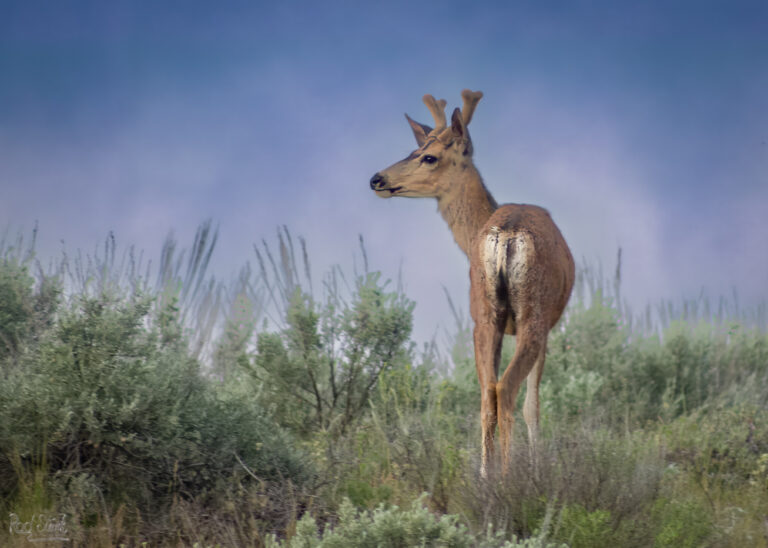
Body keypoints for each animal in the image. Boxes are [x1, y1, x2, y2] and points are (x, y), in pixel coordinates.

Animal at [368, 90, 572, 476]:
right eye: (417, 149)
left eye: (427, 155)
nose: (376, 179)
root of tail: (505, 232)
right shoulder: (548, 327)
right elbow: (534, 407)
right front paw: (538, 468)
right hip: (532, 315)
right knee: (506, 390)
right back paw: (509, 478)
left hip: (483, 312)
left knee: (486, 394)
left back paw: (487, 476)